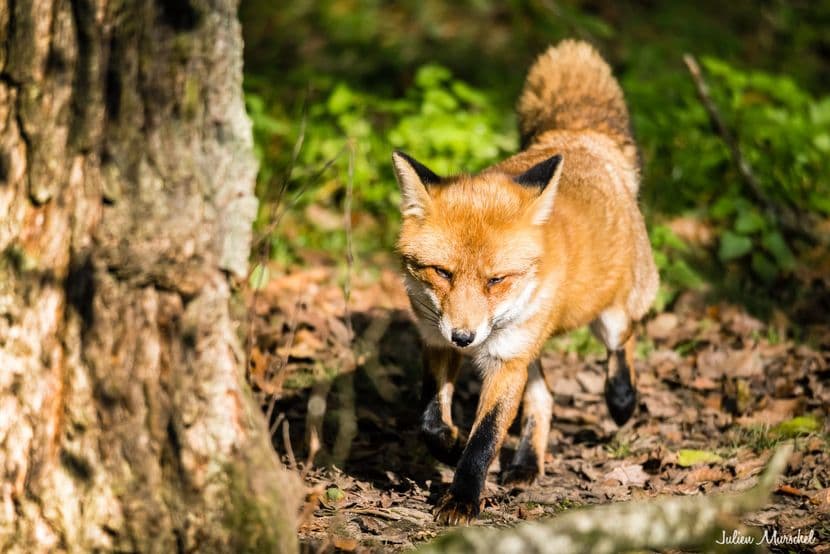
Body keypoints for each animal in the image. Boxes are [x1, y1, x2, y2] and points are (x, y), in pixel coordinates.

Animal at [392, 39, 659, 525]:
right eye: (442, 273)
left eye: (496, 279)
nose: (465, 337)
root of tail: (578, 137)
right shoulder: (436, 339)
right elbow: (431, 420)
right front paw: (449, 448)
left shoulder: (504, 362)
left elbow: (485, 437)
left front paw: (463, 497)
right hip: (528, 347)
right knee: (545, 397)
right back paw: (526, 464)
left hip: (602, 320)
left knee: (624, 342)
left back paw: (621, 400)